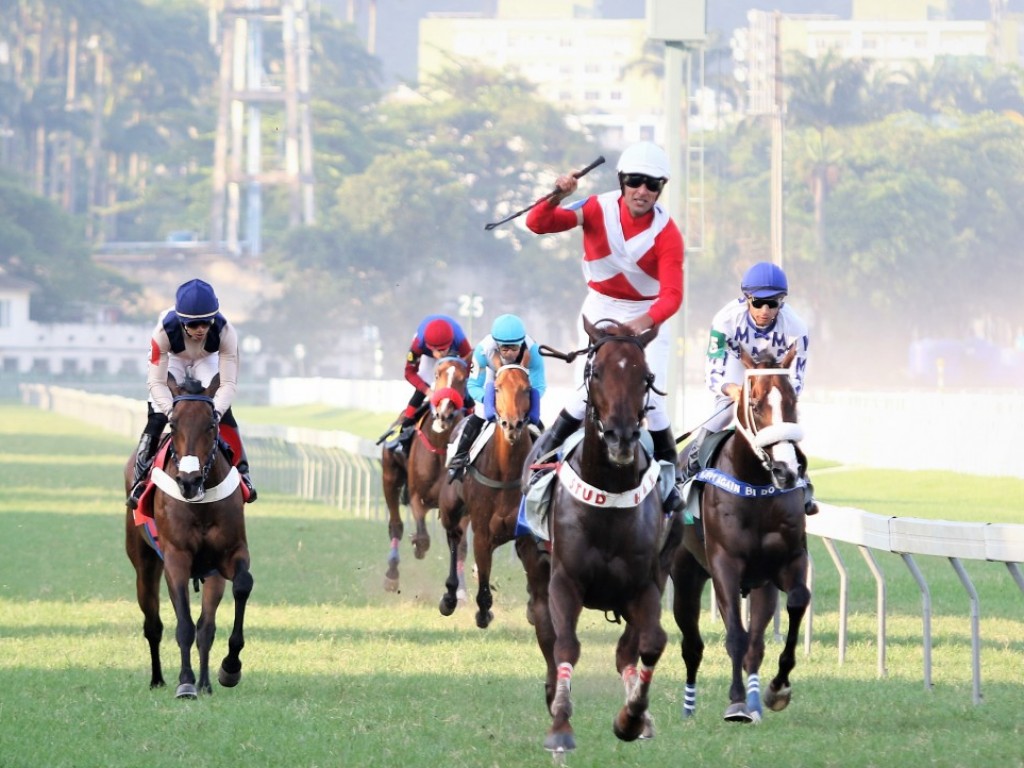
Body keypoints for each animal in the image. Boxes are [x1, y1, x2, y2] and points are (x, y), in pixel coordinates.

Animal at [122, 370, 252, 696]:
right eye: (173, 423)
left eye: (212, 424)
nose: (189, 482)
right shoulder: (176, 558)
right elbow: (184, 624)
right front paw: (185, 683)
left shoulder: (229, 555)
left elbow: (240, 588)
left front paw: (229, 668)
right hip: (144, 563)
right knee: (153, 624)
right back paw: (158, 678)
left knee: (205, 626)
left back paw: (205, 681)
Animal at [380, 358, 468, 593]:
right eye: (437, 375)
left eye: (463, 378)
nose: (444, 413)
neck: (440, 448)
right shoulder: (416, 495)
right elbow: (422, 537)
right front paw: (418, 547)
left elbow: (461, 546)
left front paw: (461, 590)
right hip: (390, 477)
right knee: (396, 526)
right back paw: (392, 575)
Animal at [438, 364, 536, 626]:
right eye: (498, 388)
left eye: (527, 388)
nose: (512, 425)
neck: (506, 471)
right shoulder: (482, 531)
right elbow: (483, 581)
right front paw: (483, 612)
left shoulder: (525, 533)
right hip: (450, 509)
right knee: (454, 538)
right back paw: (450, 596)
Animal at [516, 319, 667, 757]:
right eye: (597, 372)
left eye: (645, 376)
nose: (621, 437)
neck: (609, 498)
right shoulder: (564, 581)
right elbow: (565, 645)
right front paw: (560, 724)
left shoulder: (644, 585)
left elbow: (651, 643)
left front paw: (632, 717)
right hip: (537, 573)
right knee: (547, 632)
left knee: (627, 650)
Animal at [667, 348, 811, 729]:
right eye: (756, 404)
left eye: (793, 401)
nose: (787, 470)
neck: (756, 485)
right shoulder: (725, 564)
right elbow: (734, 633)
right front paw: (735, 703)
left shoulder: (788, 560)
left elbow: (797, 601)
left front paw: (778, 689)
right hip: (686, 574)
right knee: (692, 644)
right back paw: (689, 707)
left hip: (760, 584)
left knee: (756, 643)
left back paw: (757, 701)